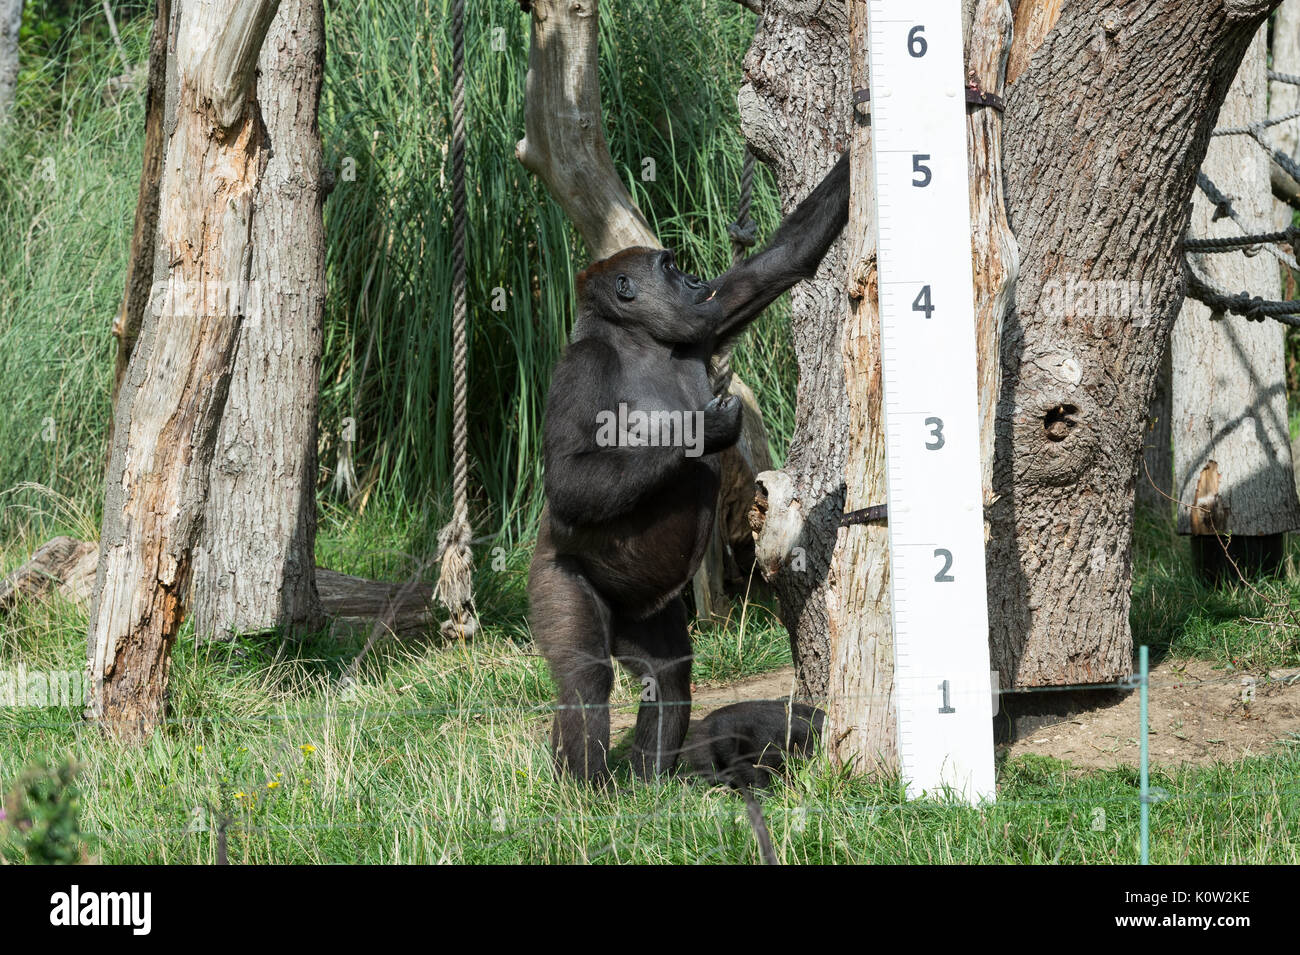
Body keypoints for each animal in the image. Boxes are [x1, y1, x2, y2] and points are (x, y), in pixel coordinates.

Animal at [527, 151, 852, 784]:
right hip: (555, 572)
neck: (638, 340)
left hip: (644, 610)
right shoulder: (583, 364)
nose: (696, 281)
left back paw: (651, 781)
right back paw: (585, 792)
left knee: (667, 672)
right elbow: (571, 481)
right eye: (670, 268)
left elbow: (783, 260)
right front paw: (707, 427)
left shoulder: (703, 326)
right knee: (585, 675)